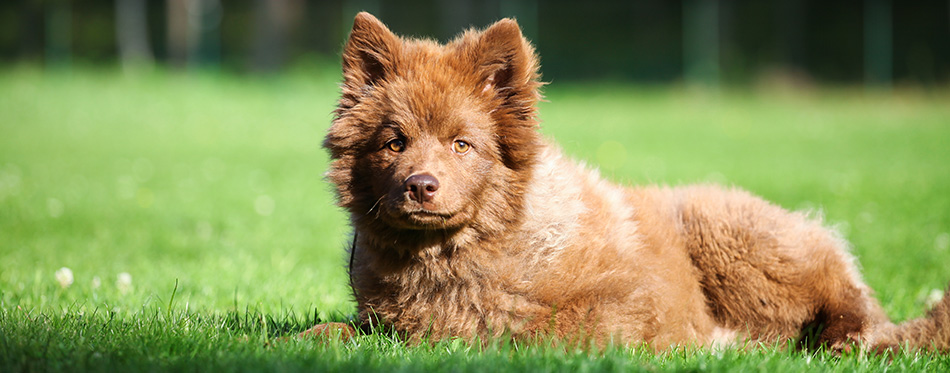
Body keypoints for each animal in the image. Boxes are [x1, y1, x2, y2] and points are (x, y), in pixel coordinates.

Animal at [306, 11, 950, 352]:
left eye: (463, 144)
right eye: (394, 143)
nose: (421, 185)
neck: (461, 252)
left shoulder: (630, 301)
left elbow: (530, 328)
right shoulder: (378, 317)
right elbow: (337, 328)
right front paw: (300, 340)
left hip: (728, 231)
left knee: (855, 311)